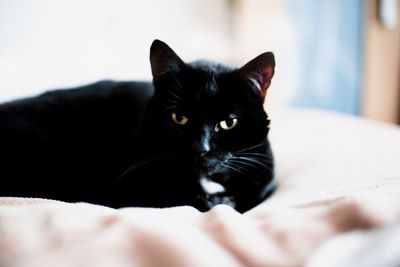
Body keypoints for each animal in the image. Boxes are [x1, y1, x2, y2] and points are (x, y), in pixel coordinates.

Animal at [0, 39, 276, 213]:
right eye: (179, 118)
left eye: (229, 122)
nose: (201, 149)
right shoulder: (133, 191)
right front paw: (215, 202)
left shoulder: (266, 178)